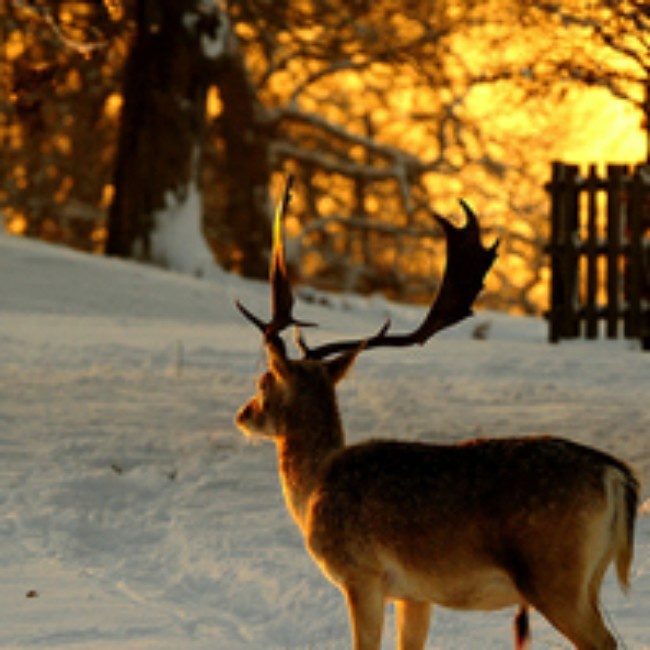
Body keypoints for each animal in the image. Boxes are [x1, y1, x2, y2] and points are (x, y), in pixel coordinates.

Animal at [234, 177, 636, 648]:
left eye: (264, 382)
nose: (243, 414)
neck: (314, 487)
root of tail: (616, 475)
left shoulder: (361, 574)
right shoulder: (414, 594)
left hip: (555, 573)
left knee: (604, 640)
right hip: (589, 577)